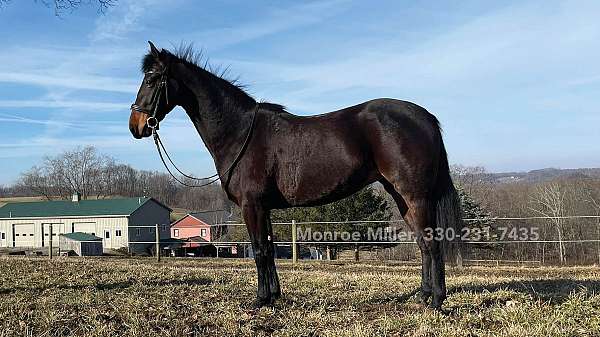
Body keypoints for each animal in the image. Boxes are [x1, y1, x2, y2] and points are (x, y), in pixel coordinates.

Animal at [129, 41, 462, 308]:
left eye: (152, 78)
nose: (136, 125)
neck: (240, 132)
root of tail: (425, 116)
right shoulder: (264, 207)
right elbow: (269, 249)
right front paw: (274, 296)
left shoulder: (251, 205)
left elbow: (260, 249)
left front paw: (261, 300)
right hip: (402, 197)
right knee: (423, 244)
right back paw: (422, 296)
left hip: (415, 196)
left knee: (432, 243)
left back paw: (436, 301)